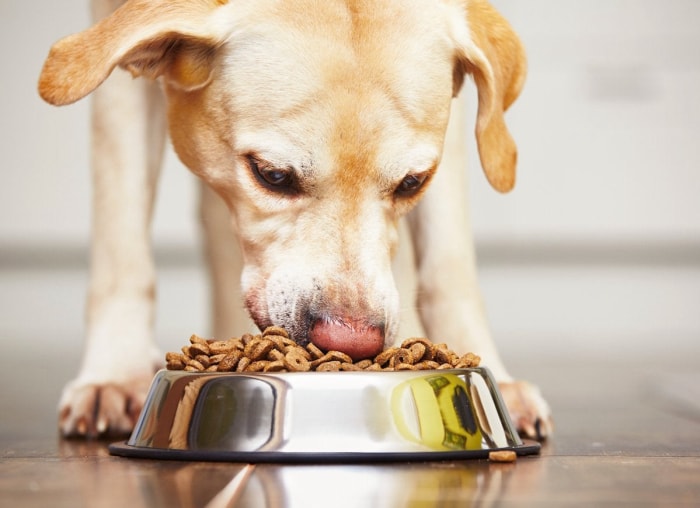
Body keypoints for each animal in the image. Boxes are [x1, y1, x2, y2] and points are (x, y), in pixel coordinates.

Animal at [38, 0, 552, 438]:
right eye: (272, 175)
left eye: (412, 183)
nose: (352, 342)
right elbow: (121, 241)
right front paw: (115, 374)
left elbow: (450, 264)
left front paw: (490, 375)